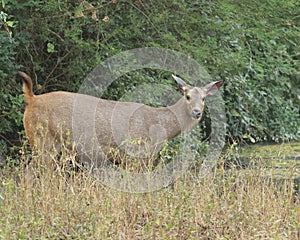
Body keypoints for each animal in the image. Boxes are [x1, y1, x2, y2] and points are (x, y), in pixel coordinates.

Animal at [18, 70, 220, 172]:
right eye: (187, 96)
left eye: (203, 98)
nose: (196, 112)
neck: (160, 126)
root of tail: (32, 99)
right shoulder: (135, 155)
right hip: (43, 140)